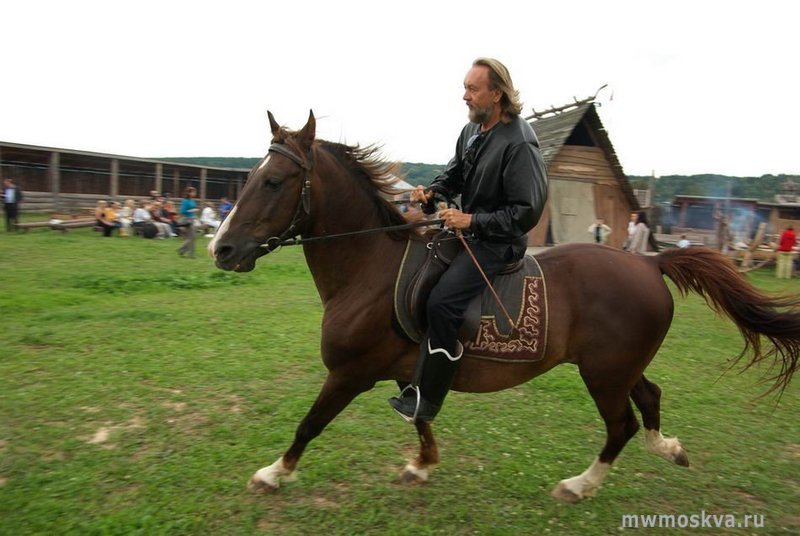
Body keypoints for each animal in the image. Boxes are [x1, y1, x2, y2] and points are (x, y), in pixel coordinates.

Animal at [211, 111, 800, 500]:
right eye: (254, 178)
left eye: (273, 181)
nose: (222, 249)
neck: (369, 269)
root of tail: (649, 261)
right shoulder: (405, 369)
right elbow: (420, 414)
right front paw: (422, 464)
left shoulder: (349, 374)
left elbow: (309, 424)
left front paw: (273, 473)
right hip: (619, 367)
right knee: (649, 402)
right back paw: (669, 449)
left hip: (604, 374)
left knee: (622, 426)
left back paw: (580, 484)